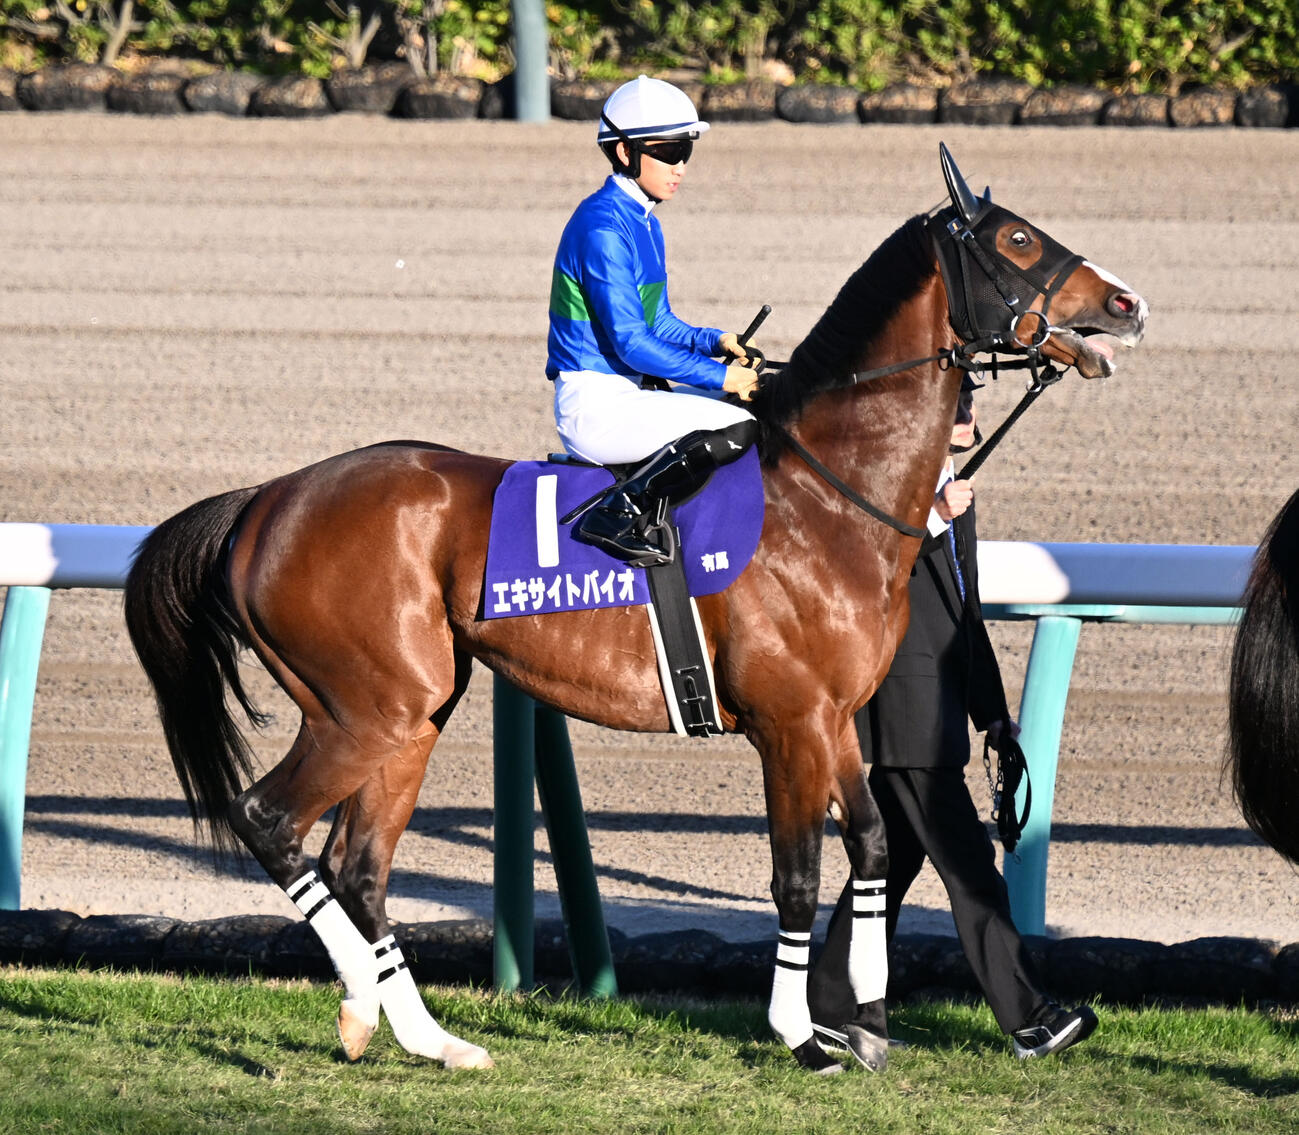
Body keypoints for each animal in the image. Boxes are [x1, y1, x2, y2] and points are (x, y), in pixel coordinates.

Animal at [123, 145, 1147, 1074]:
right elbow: (796, 873)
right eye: (1016, 237)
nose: (1127, 303)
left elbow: (865, 844)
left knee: (361, 867)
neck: (829, 497)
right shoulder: (789, 722)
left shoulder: (835, 718)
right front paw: (801, 1034)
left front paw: (863, 1022)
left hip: (411, 715)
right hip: (362, 710)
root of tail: (265, 500)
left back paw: (425, 1036)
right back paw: (364, 1009)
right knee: (268, 818)